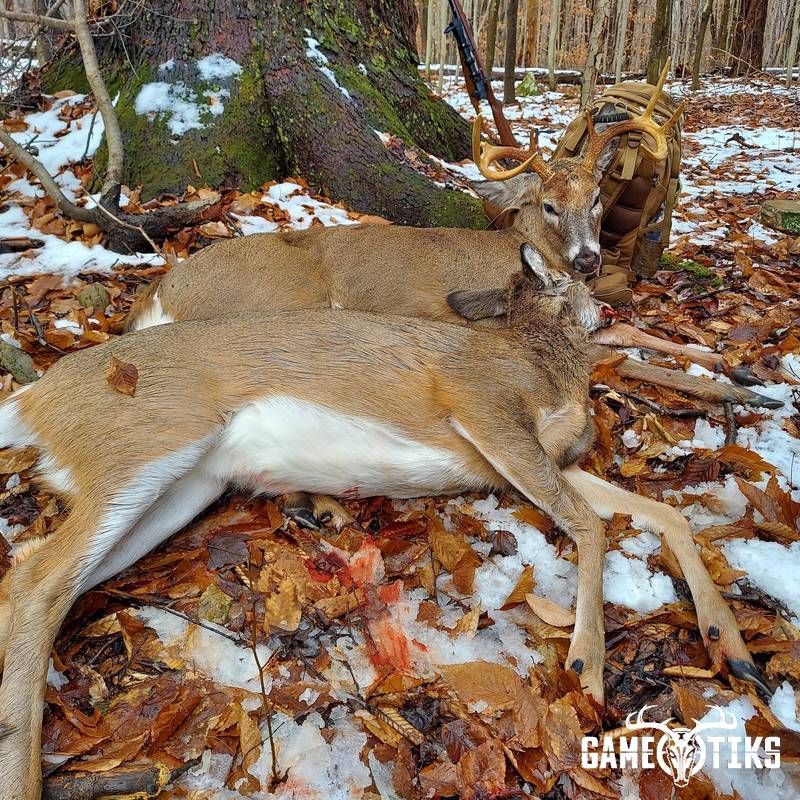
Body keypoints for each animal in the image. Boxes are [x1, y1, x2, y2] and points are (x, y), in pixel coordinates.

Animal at [0, 245, 765, 798]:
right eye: (568, 276)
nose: (606, 296)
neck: (545, 369)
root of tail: (34, 397)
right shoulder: (483, 408)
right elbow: (590, 525)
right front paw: (588, 668)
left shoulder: (535, 459)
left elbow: (667, 513)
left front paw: (733, 649)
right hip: (147, 442)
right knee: (37, 578)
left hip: (185, 485)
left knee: (32, 579)